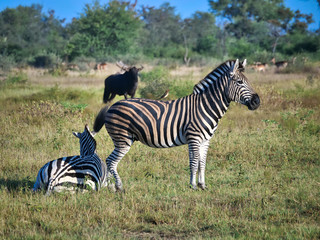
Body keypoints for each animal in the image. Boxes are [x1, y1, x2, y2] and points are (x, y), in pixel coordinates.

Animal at [93, 59, 260, 191]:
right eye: (239, 82)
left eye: (248, 81)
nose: (257, 102)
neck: (205, 106)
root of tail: (113, 105)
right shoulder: (194, 138)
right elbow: (194, 162)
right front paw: (193, 186)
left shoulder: (205, 140)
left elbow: (202, 162)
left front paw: (202, 185)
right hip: (123, 139)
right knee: (110, 161)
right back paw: (118, 187)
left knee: (109, 161)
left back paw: (109, 186)